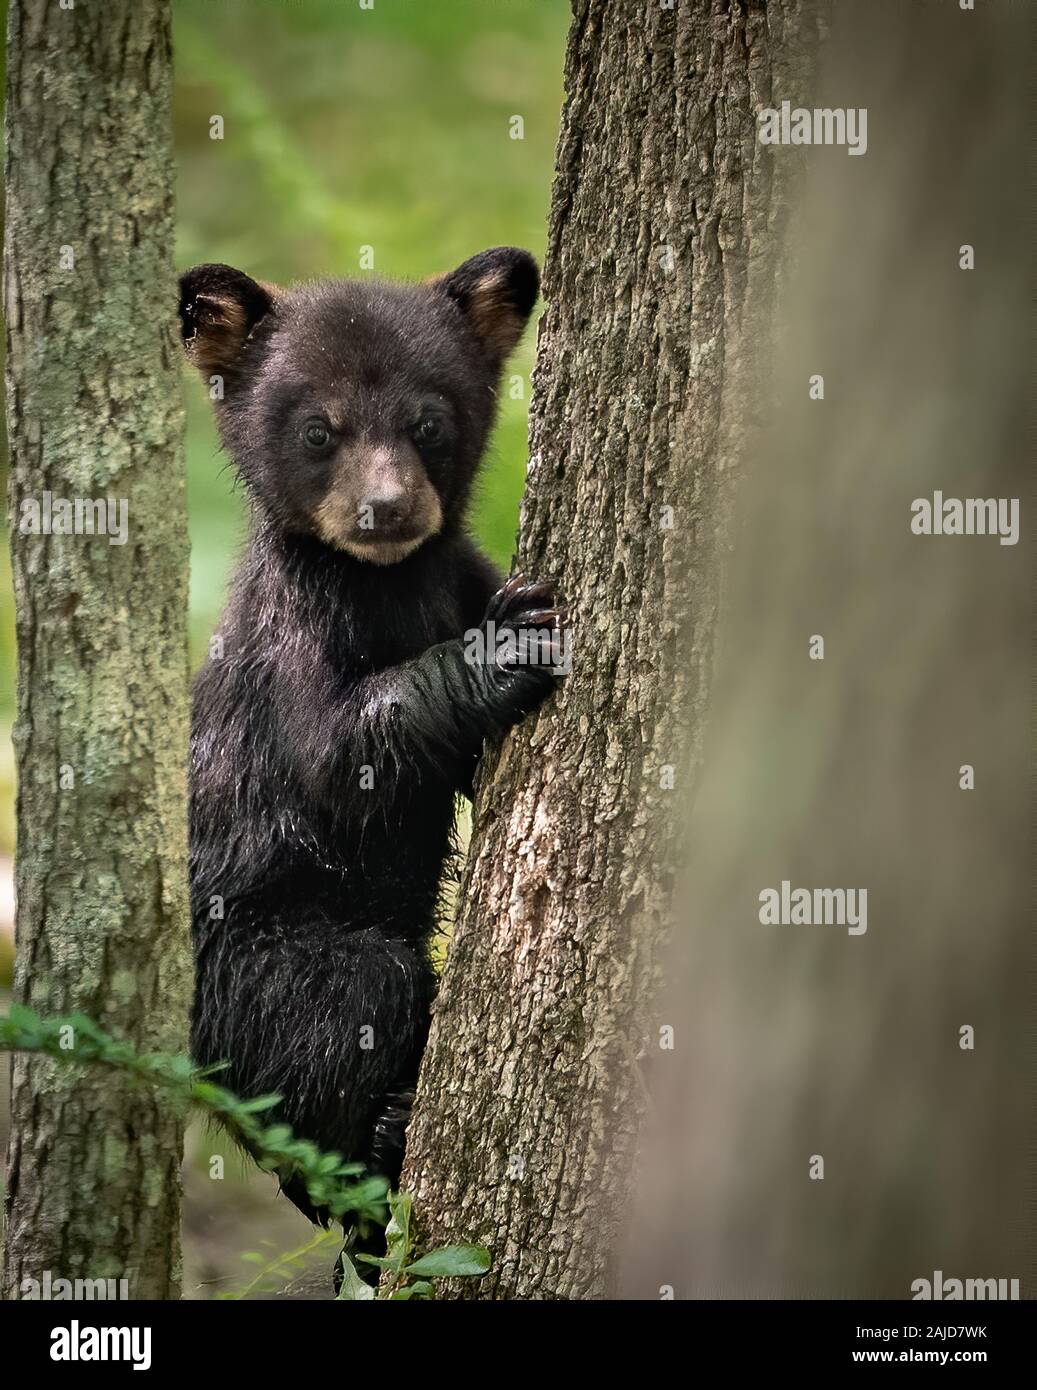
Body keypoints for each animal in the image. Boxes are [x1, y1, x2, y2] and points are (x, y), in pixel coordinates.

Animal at [178, 248, 565, 1246]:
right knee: (352, 999)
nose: (385, 509)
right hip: (253, 969)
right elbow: (335, 754)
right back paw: (375, 1153)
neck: (388, 585)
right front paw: (505, 649)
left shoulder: (454, 570)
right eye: (319, 428)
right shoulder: (292, 632)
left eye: (427, 419)